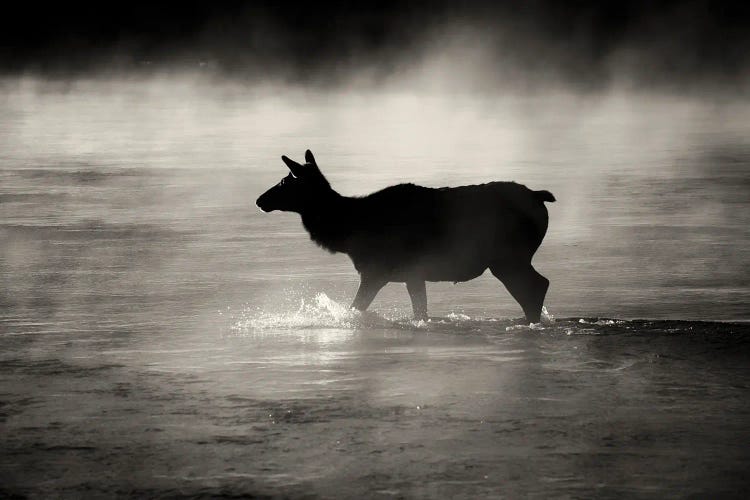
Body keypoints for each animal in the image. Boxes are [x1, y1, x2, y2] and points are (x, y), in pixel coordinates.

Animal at [256, 150, 556, 324]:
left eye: (285, 181)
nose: (260, 200)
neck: (348, 231)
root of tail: (540, 197)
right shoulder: (414, 274)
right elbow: (420, 311)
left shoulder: (376, 272)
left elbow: (356, 308)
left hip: (508, 258)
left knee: (536, 286)